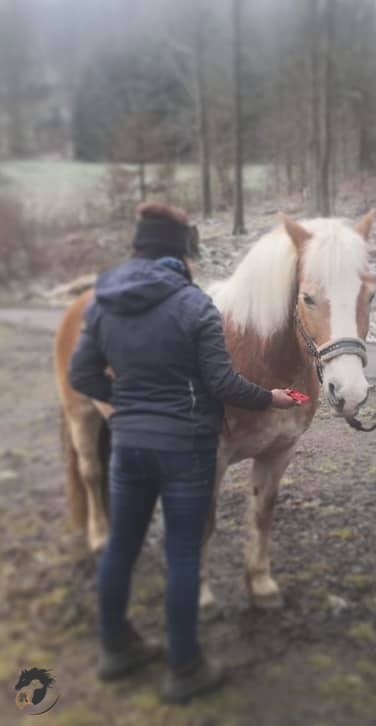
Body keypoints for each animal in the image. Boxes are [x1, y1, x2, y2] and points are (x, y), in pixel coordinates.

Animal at [54, 213, 374, 612]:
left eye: (369, 295)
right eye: (308, 298)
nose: (350, 392)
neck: (251, 354)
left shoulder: (278, 453)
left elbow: (262, 513)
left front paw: (261, 585)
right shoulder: (211, 457)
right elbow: (203, 522)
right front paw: (200, 595)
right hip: (81, 415)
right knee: (91, 473)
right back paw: (98, 537)